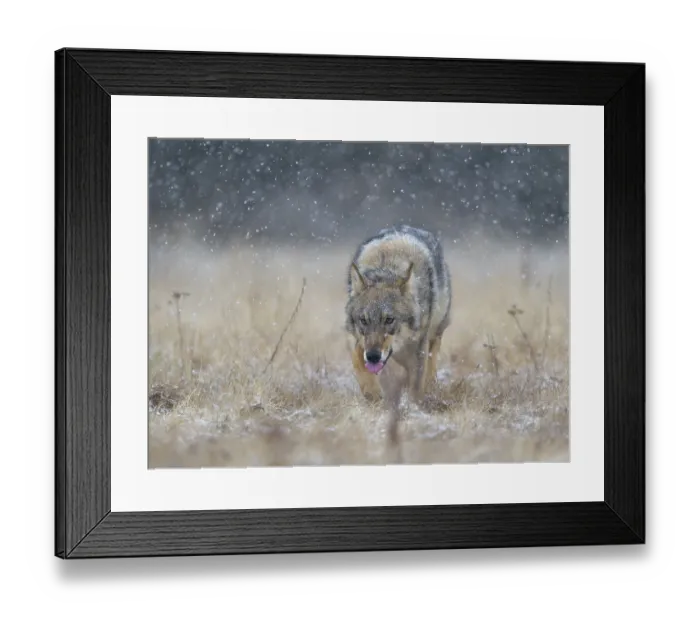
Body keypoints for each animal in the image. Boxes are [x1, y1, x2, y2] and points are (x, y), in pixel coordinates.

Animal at [345, 224, 452, 407]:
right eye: (363, 320)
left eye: (389, 320)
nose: (373, 356)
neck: (385, 266)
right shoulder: (360, 341)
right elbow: (358, 360)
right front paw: (373, 395)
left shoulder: (419, 345)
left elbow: (416, 386)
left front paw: (414, 408)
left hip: (434, 332)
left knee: (431, 361)